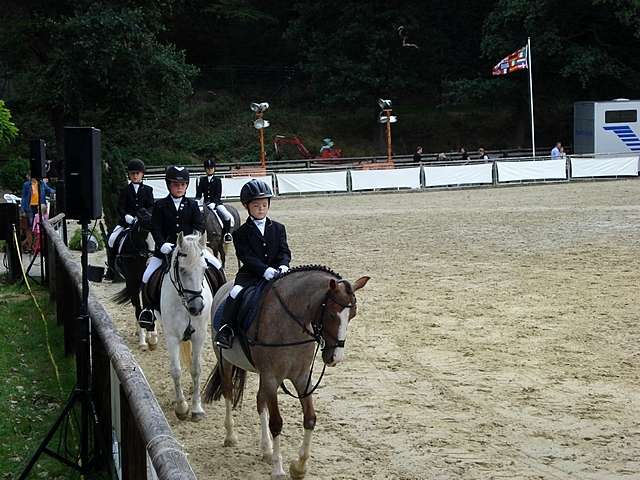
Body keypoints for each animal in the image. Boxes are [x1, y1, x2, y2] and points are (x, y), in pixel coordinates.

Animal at [202, 264, 368, 478]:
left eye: (353, 314)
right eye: (332, 315)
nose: (335, 358)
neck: (290, 323)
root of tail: (225, 287)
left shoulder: (301, 378)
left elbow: (310, 418)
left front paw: (299, 467)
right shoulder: (272, 378)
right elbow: (276, 423)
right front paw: (278, 470)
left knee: (260, 400)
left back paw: (266, 449)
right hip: (226, 362)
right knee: (228, 392)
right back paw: (231, 437)